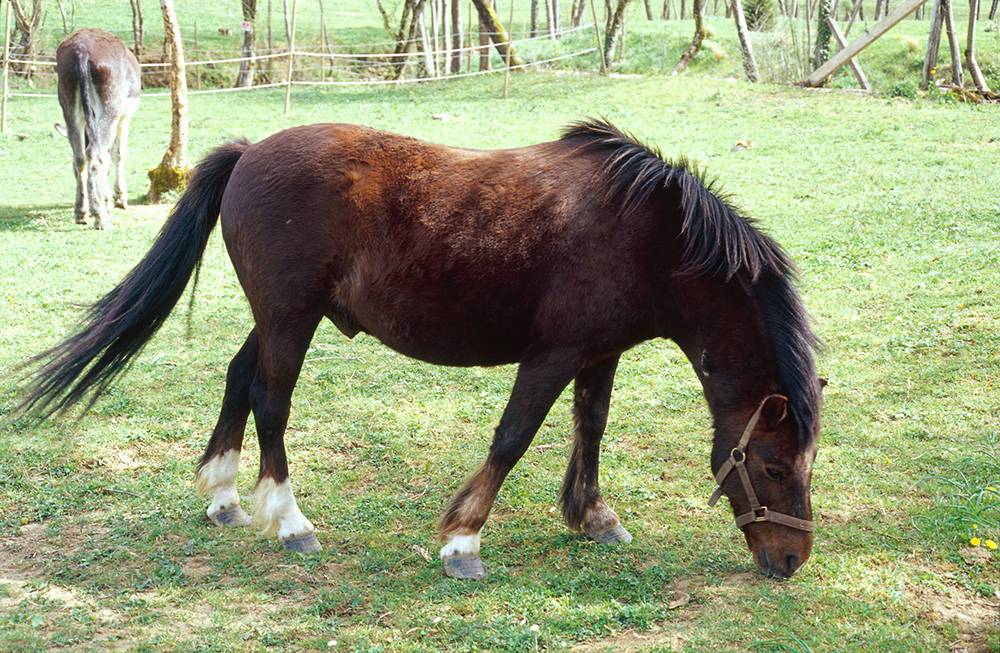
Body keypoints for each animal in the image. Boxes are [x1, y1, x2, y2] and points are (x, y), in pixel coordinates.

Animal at [19, 119, 824, 580]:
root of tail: (249, 154)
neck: (650, 234)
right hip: (291, 320)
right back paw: (290, 520)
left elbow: (589, 429)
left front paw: (594, 517)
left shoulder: (600, 354)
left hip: (278, 318)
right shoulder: (553, 355)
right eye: (772, 466)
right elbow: (513, 437)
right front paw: (463, 540)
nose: (790, 560)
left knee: (238, 378)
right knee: (271, 401)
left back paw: (223, 496)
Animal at [55, 29, 141, 229]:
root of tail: (82, 50)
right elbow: (117, 154)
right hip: (110, 108)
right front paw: (117, 199)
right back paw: (100, 216)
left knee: (80, 157)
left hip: (68, 105)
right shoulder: (124, 118)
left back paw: (81, 212)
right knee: (95, 154)